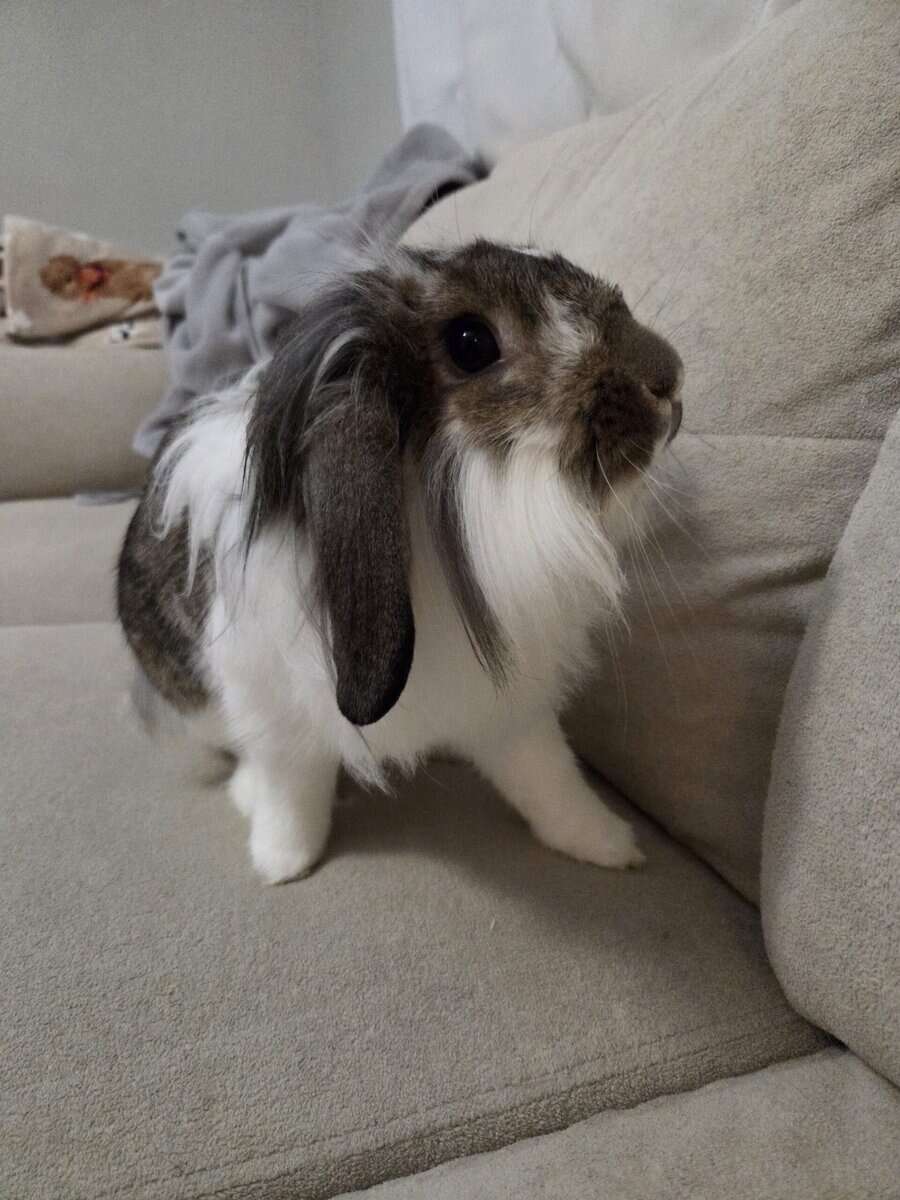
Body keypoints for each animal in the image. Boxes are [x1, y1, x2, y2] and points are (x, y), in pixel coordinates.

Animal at [117, 239, 684, 883]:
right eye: (471, 343)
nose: (669, 376)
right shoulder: (272, 704)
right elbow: (293, 787)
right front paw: (282, 862)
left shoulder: (513, 708)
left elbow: (548, 779)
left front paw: (609, 845)